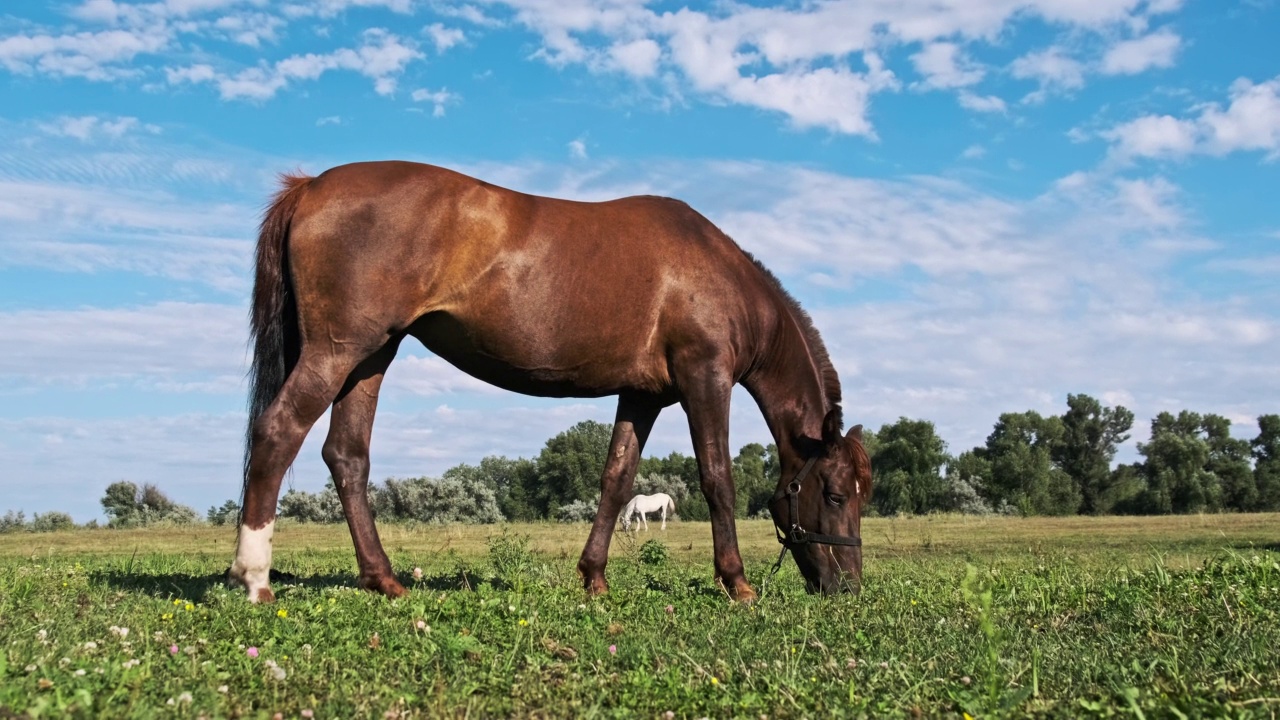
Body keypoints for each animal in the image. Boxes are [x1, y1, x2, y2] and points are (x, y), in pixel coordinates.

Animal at [227, 161, 870, 599]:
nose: (848, 586)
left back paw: (384, 580)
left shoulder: (643, 396)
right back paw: (254, 578)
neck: (718, 277)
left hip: (370, 357)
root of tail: (312, 184)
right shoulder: (703, 380)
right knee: (278, 433)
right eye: (835, 494)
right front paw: (737, 583)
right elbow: (718, 479)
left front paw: (594, 578)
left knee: (347, 456)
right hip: (337, 353)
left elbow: (615, 480)